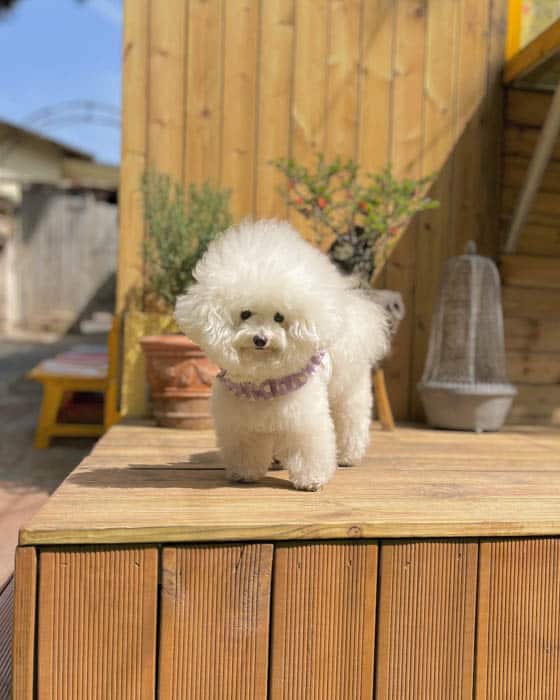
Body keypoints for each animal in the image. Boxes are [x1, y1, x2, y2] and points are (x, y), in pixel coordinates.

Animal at [175, 219, 390, 492]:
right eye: (245, 314)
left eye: (279, 317)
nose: (260, 339)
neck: (263, 379)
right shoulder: (240, 424)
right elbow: (246, 449)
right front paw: (244, 474)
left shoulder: (305, 420)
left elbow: (308, 448)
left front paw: (311, 480)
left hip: (349, 392)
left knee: (351, 420)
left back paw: (347, 456)